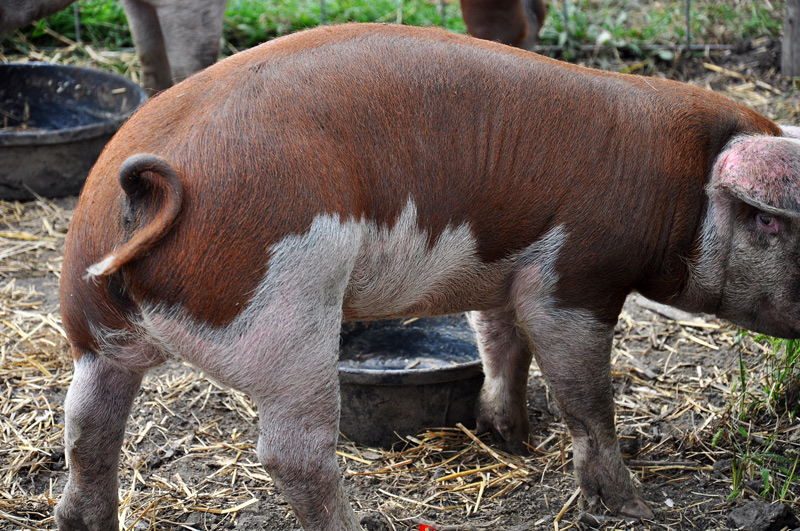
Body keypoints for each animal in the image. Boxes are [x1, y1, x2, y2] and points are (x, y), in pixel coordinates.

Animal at [56, 22, 800, 531]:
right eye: (778, 225)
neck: (683, 191)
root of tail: (144, 190)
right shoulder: (575, 280)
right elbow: (586, 397)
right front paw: (633, 507)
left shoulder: (504, 270)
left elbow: (501, 343)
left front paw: (512, 437)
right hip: (283, 316)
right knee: (292, 453)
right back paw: (350, 525)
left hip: (92, 323)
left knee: (86, 423)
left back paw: (88, 518)